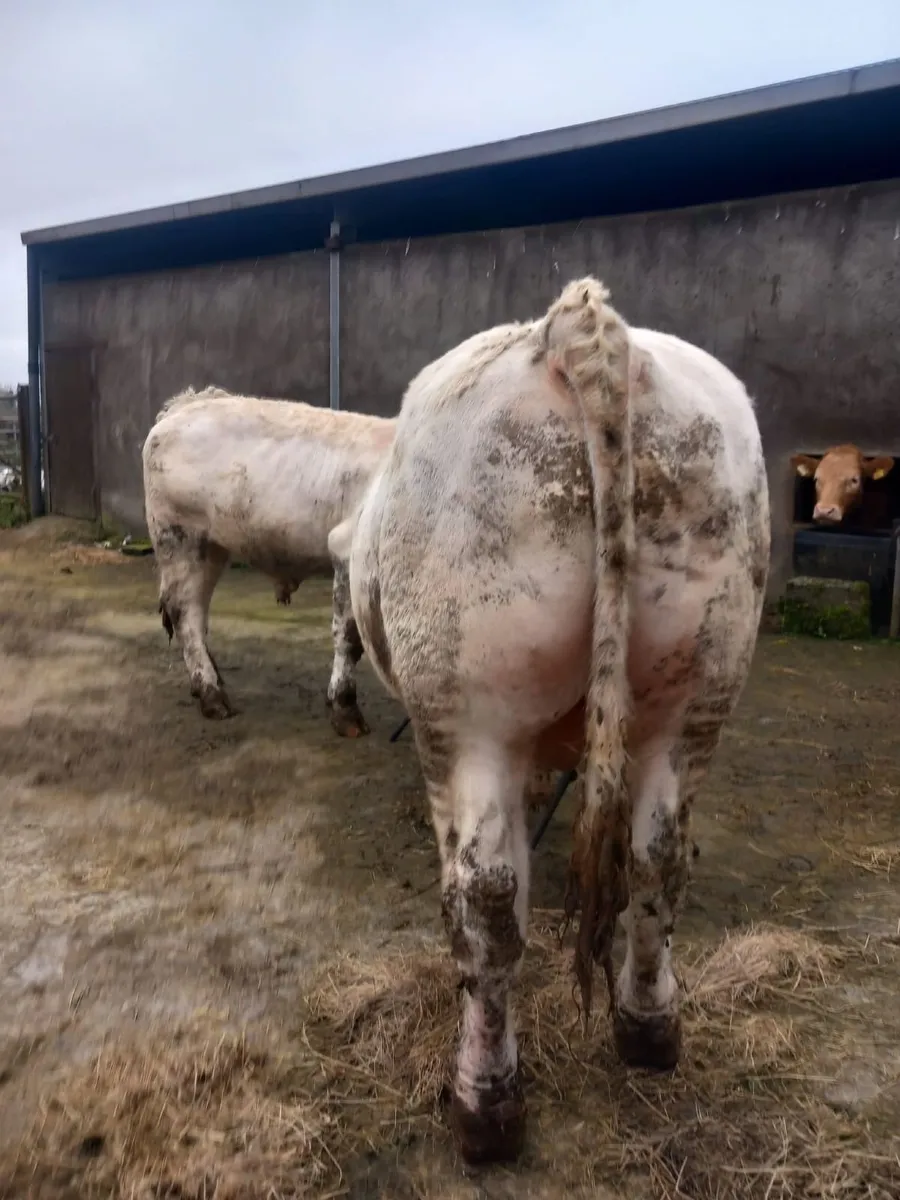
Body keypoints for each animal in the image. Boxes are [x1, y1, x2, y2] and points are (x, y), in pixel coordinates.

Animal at [142, 386, 396, 736]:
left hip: (211, 548)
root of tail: (183, 407)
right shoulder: (347, 554)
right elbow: (349, 637)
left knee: (197, 611)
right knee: (186, 614)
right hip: (181, 539)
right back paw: (211, 694)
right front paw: (345, 709)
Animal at [336, 278, 770, 1166]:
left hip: (470, 713)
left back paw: (485, 1103)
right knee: (657, 861)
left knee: (484, 902)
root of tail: (576, 326)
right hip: (698, 693)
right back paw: (648, 1029)